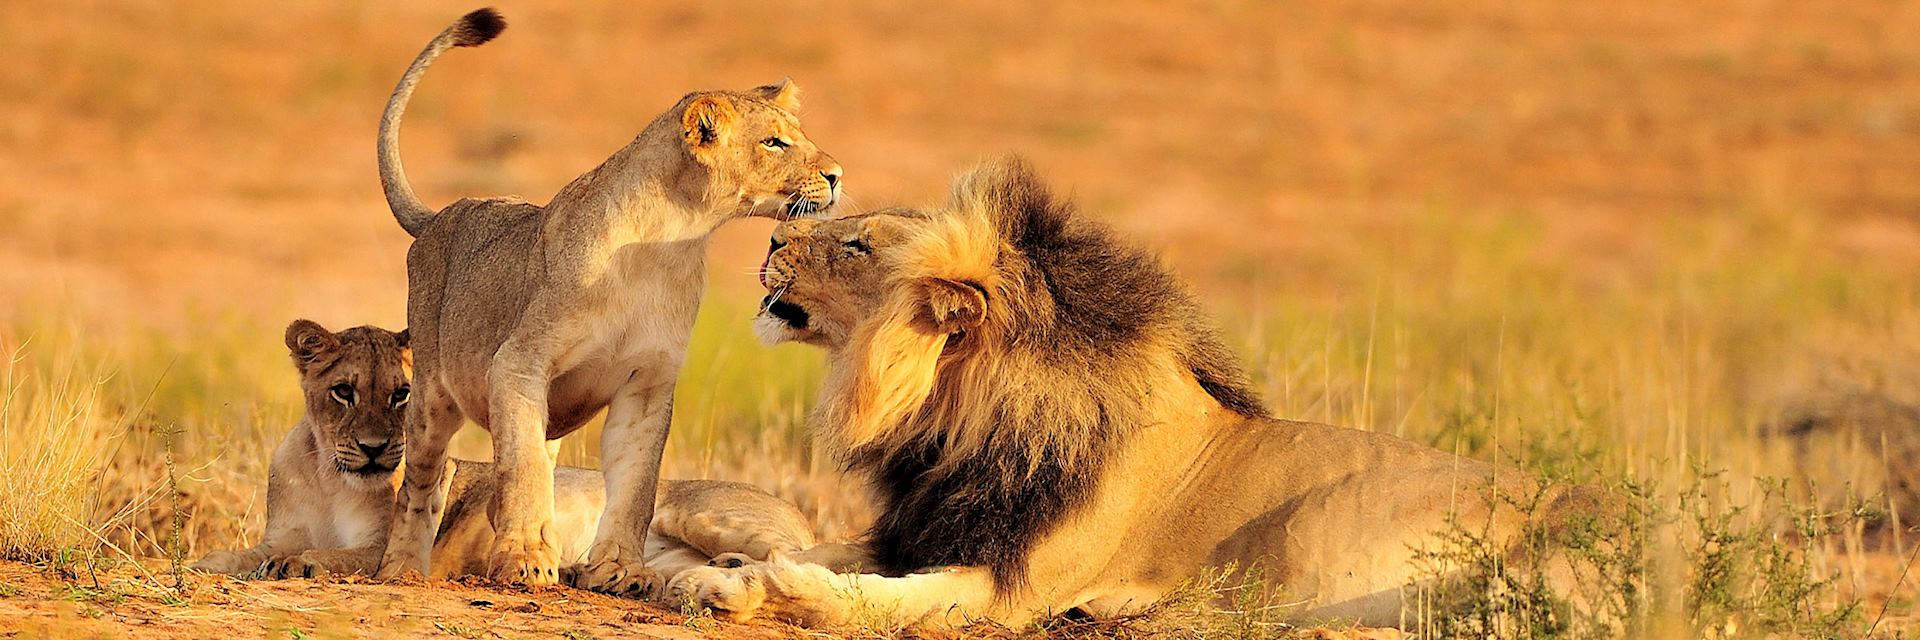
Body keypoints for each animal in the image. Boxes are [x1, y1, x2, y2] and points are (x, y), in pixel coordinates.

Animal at [194, 319, 825, 584]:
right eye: (343, 392)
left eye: (401, 395)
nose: (374, 451)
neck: (331, 476)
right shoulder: (277, 530)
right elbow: (235, 555)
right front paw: (207, 565)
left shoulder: (388, 548)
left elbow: (336, 556)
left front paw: (299, 564)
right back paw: (578, 570)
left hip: (700, 513)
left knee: (801, 556)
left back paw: (735, 566)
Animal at [374, 8, 840, 591]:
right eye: (774, 143)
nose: (837, 175)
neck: (670, 239)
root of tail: (442, 214)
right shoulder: (518, 365)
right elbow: (521, 468)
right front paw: (526, 560)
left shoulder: (647, 383)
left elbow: (636, 484)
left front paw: (619, 569)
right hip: (434, 397)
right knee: (421, 482)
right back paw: (401, 569)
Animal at [675, 156, 1605, 626]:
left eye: (859, 246)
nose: (772, 237)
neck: (958, 422)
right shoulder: (929, 527)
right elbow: (828, 548)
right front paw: (727, 569)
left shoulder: (1014, 589)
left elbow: (871, 598)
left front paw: (764, 588)